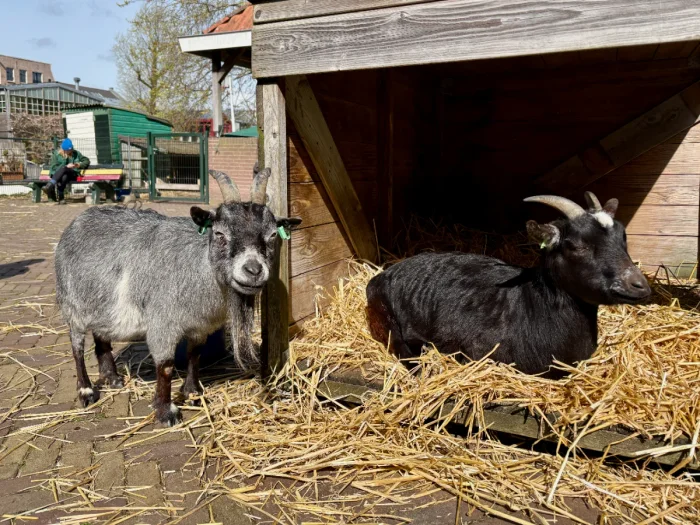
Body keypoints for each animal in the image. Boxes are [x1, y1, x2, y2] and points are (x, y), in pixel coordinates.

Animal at [55, 166, 301, 425]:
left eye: (272, 235)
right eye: (220, 233)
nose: (253, 270)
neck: (199, 267)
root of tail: (77, 221)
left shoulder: (200, 326)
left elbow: (194, 355)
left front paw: (192, 392)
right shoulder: (162, 324)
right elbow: (165, 366)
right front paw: (166, 411)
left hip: (101, 305)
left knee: (102, 338)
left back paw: (112, 378)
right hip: (72, 306)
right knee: (77, 348)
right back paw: (86, 391)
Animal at [365, 192, 651, 377]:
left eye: (623, 237)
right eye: (576, 245)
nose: (639, 285)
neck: (533, 305)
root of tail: (386, 272)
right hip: (385, 318)